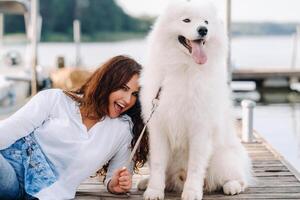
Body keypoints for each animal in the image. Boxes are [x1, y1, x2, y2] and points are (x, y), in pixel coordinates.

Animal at [139, 0, 252, 200]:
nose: (203, 30)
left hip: (223, 159)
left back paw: (232, 186)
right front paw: (154, 191)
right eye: (186, 20)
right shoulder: (158, 127)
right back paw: (147, 182)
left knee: (239, 178)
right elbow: (158, 164)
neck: (184, 68)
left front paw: (191, 192)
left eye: (206, 22)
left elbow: (196, 166)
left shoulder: (200, 128)